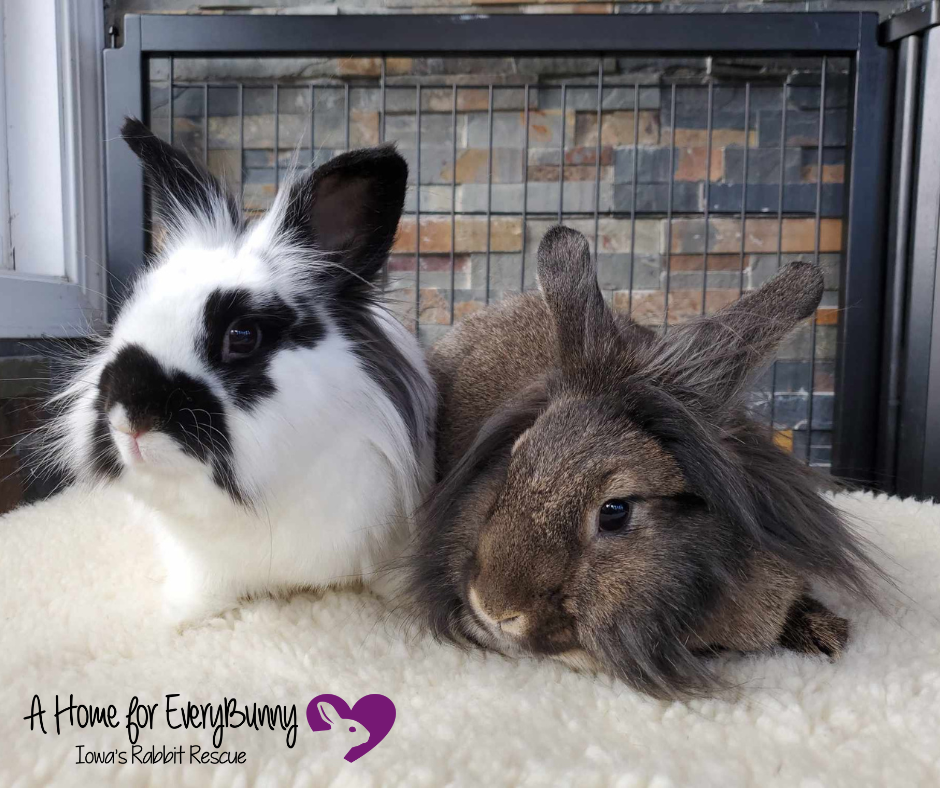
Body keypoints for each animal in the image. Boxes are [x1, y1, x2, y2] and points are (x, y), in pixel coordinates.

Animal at [38, 118, 435, 626]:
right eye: (127, 313)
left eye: (242, 336)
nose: (129, 421)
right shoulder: (202, 562)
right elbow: (202, 592)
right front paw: (175, 618)